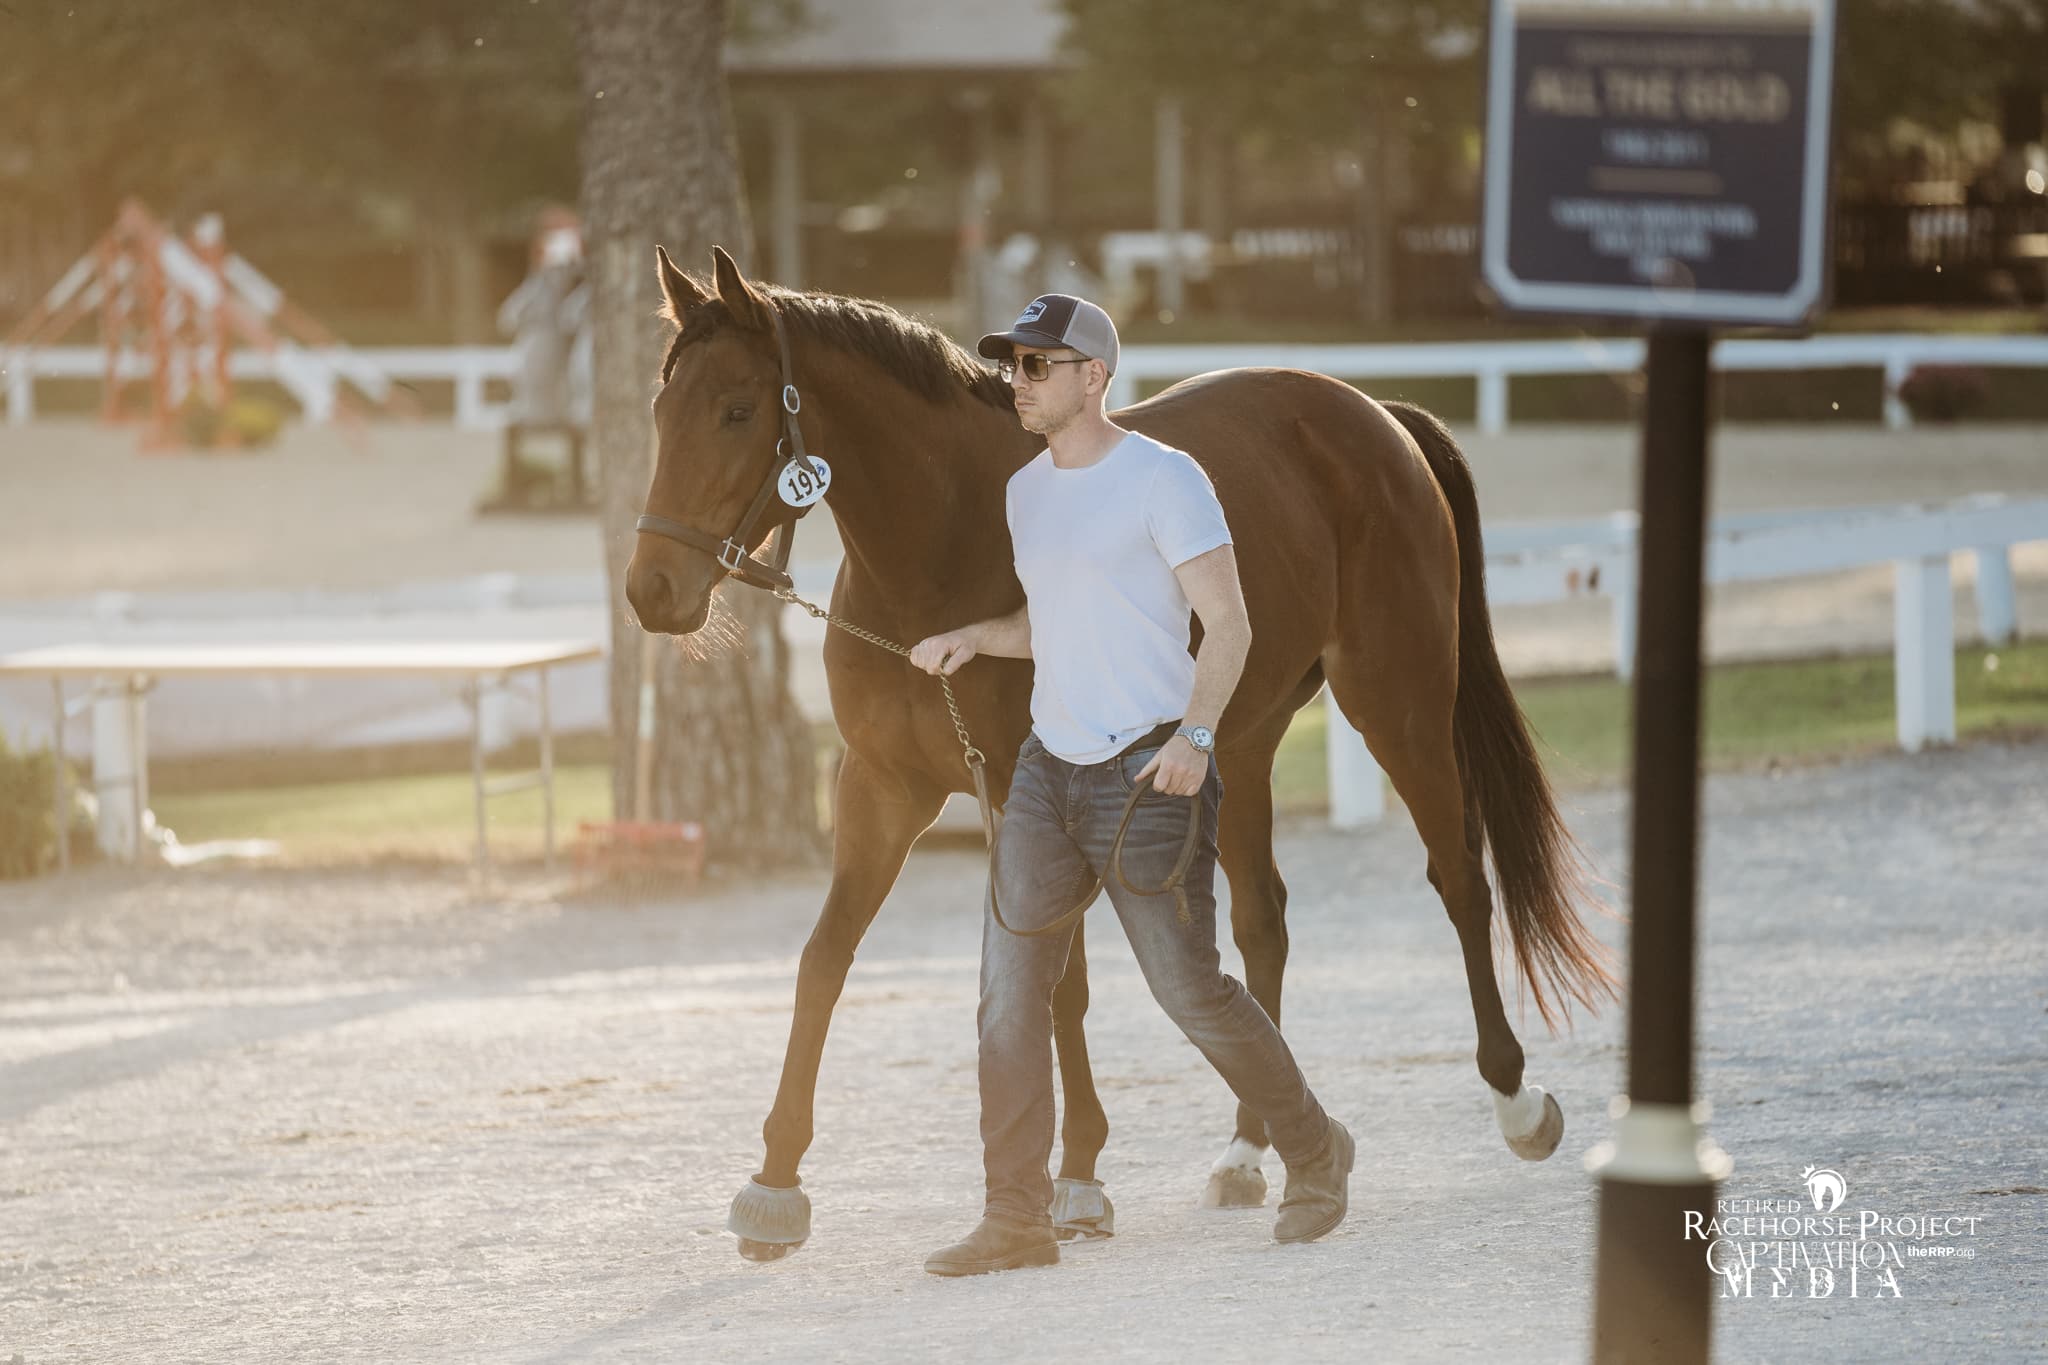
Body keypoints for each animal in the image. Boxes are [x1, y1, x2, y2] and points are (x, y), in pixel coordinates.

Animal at [622, 245, 1613, 1260]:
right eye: (661, 410)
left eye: (737, 410)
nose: (652, 590)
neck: (944, 544)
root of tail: (1375, 415)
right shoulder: (880, 789)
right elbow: (825, 959)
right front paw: (774, 1181)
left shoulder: (1024, 789)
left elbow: (1062, 987)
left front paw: (1078, 1174)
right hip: (1238, 743)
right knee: (1257, 925)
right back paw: (1248, 1150)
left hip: (1399, 700)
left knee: (1458, 878)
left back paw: (1515, 1099)